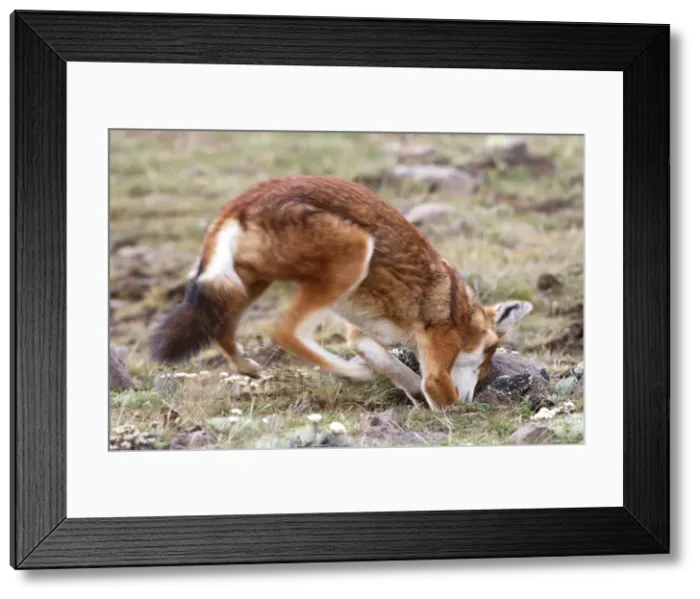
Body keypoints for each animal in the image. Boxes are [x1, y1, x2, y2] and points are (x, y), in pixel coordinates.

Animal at [148, 174, 533, 411]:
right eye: (488, 358)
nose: (474, 398)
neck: (459, 309)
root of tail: (242, 201)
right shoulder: (437, 358)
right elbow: (438, 388)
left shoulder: (360, 335)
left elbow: (397, 369)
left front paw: (409, 390)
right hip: (353, 255)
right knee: (283, 331)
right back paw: (349, 374)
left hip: (248, 284)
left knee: (224, 331)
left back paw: (252, 367)